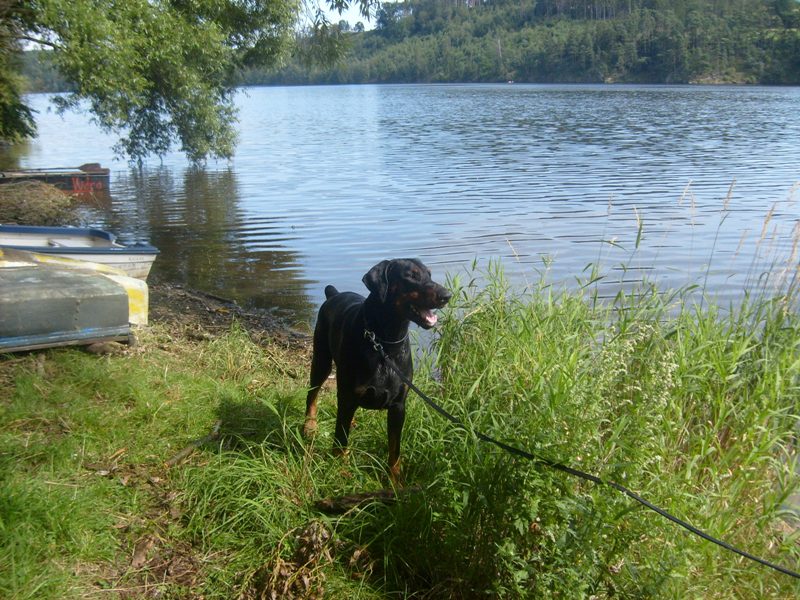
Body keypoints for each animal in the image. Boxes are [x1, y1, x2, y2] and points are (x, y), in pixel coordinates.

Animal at [303, 258, 452, 484]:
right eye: (411, 275)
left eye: (429, 274)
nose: (446, 295)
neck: (384, 344)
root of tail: (334, 294)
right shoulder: (348, 397)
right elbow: (340, 439)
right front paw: (340, 471)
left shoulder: (398, 406)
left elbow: (394, 449)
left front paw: (395, 481)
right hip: (321, 359)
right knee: (312, 394)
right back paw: (309, 426)